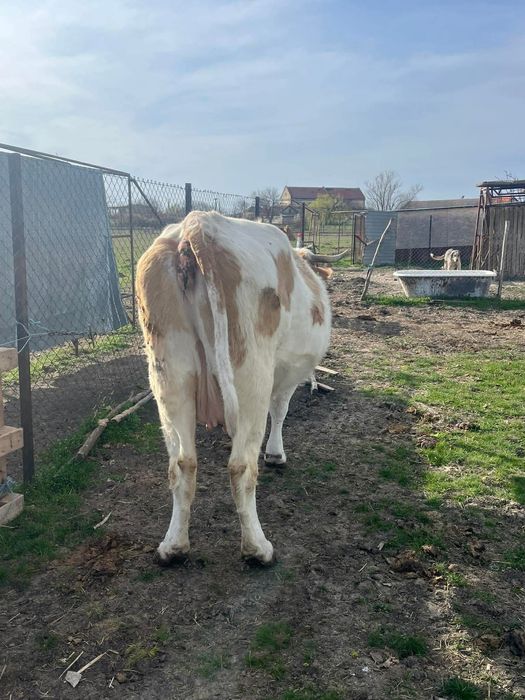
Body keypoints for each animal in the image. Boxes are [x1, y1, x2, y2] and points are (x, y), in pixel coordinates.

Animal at [136, 211, 339, 566]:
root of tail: (199, 223)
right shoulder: (286, 375)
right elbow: (280, 410)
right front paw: (276, 454)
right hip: (251, 374)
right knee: (241, 465)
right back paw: (258, 548)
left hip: (169, 373)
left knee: (182, 464)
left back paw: (173, 546)